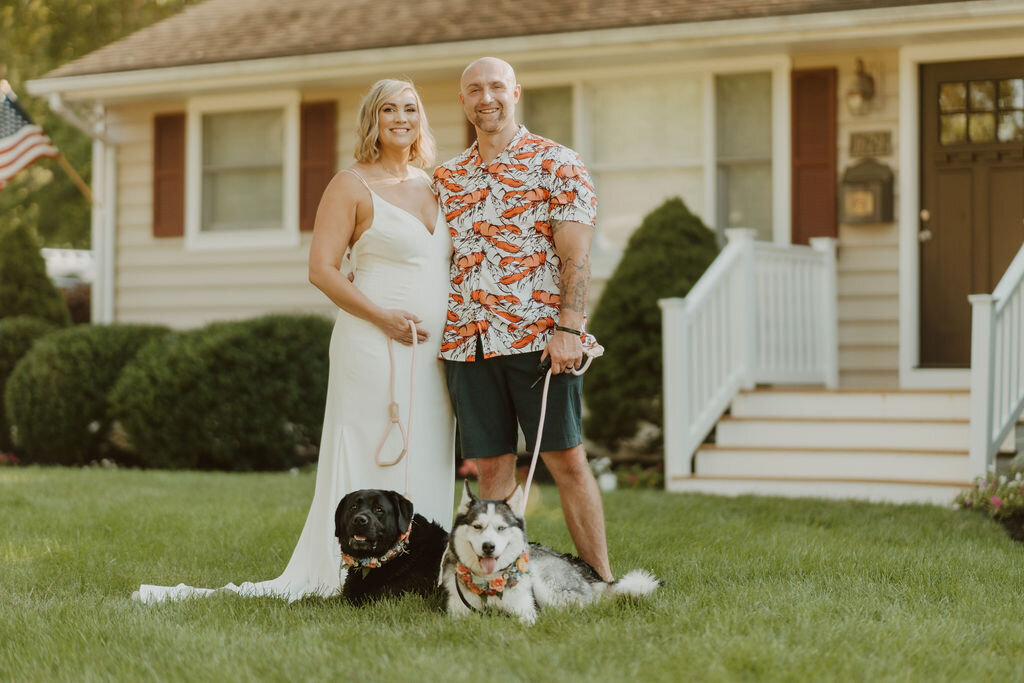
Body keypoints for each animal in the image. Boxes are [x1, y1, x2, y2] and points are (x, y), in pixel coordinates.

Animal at [436, 481, 659, 626]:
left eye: (501, 528)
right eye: (477, 526)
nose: (488, 546)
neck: (489, 583)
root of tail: (585, 576)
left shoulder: (525, 610)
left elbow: (526, 620)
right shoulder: (458, 614)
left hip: (545, 583)